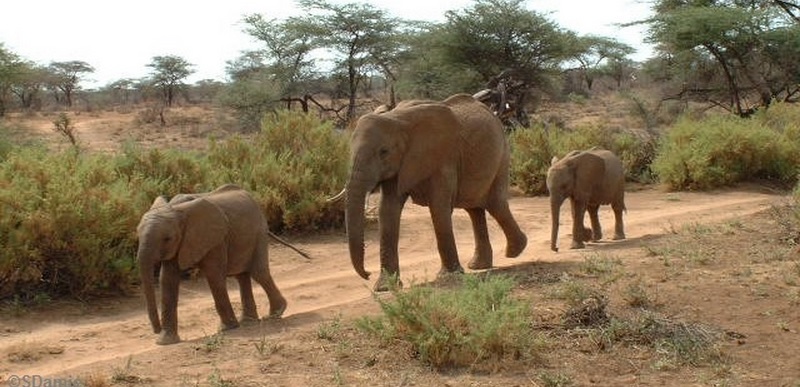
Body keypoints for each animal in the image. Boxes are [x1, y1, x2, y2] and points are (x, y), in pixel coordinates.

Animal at [137, 185, 288, 346]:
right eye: (137, 235)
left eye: (167, 238)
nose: (156, 329)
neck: (175, 209)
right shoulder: (180, 244)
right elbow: (167, 280)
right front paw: (165, 342)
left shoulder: (215, 239)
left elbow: (214, 275)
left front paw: (227, 328)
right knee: (241, 276)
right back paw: (248, 321)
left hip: (259, 231)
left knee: (258, 273)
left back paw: (275, 314)